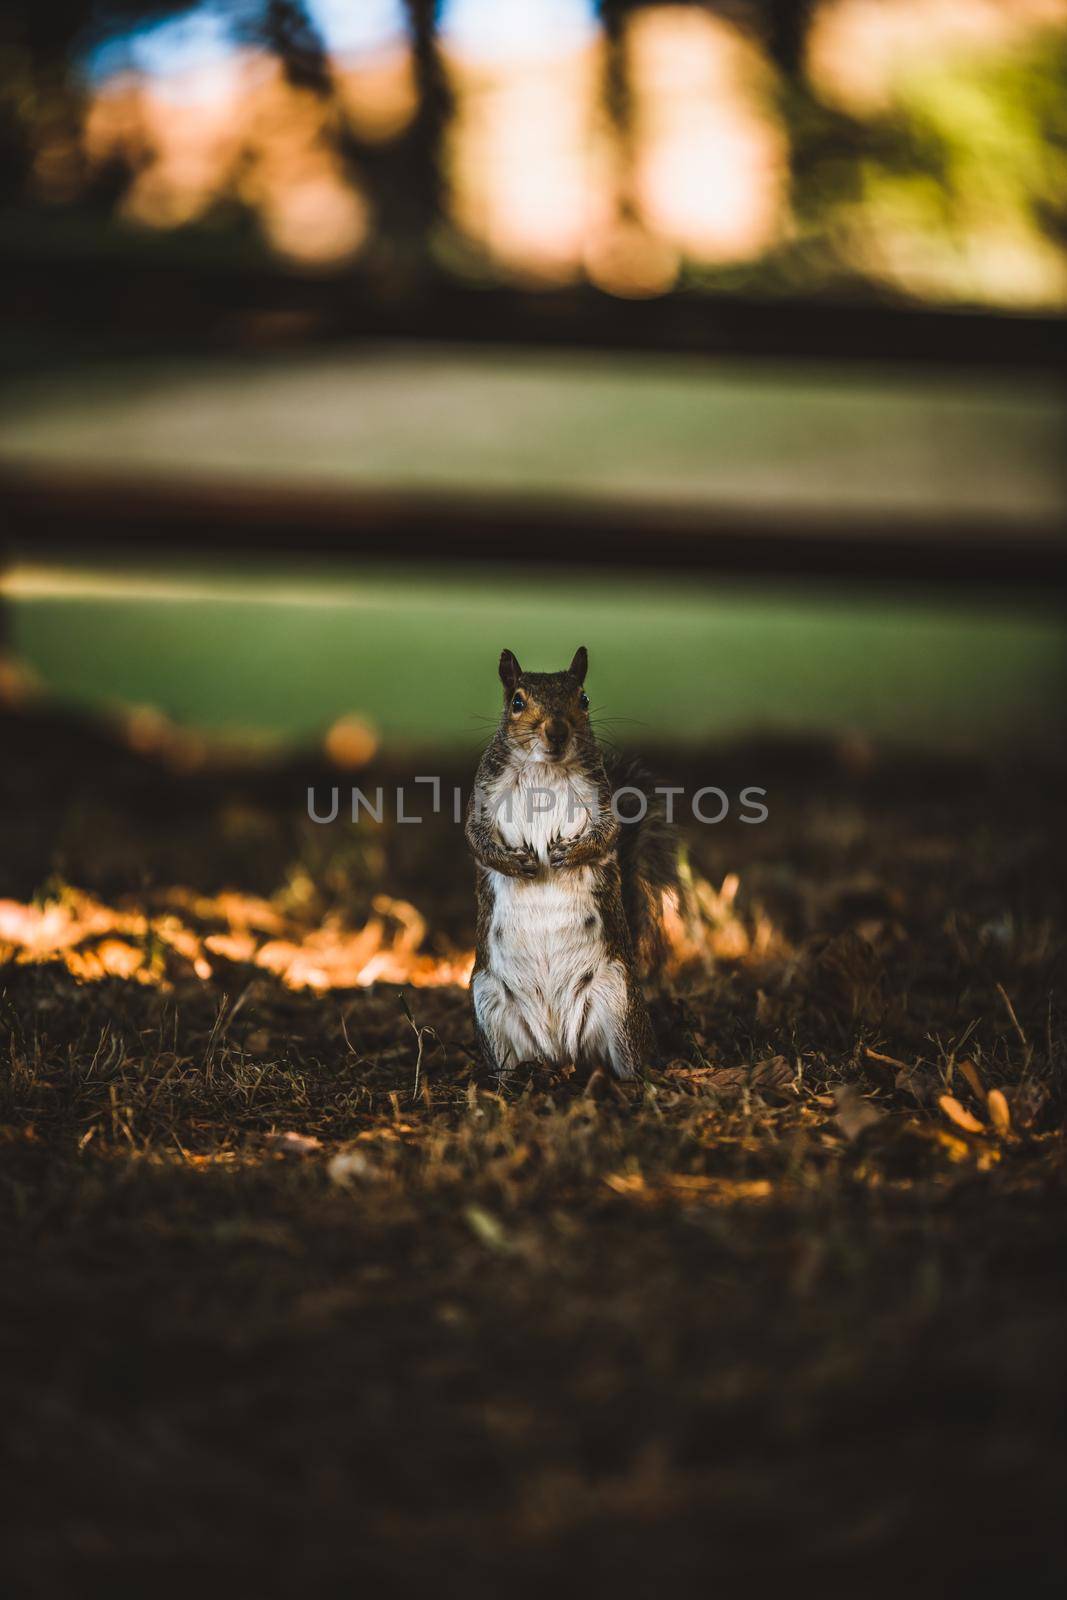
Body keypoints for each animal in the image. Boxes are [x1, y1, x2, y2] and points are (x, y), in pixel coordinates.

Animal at [463, 649, 675, 1088]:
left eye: (584, 698)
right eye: (517, 702)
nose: (556, 731)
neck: (545, 768)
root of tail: (560, 1050)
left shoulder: (600, 799)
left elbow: (608, 834)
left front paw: (567, 855)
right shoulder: (482, 798)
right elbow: (476, 839)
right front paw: (516, 862)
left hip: (620, 998)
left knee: (629, 1060)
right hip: (489, 1002)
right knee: (507, 1063)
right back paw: (508, 1085)